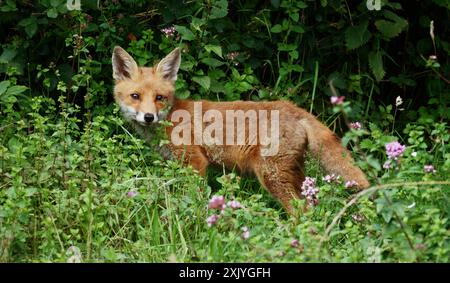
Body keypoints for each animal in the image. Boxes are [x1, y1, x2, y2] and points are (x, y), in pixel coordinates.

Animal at [112, 46, 370, 214]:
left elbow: (194, 199)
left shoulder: (196, 162)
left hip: (272, 176)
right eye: (135, 96)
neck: (172, 119)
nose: (148, 117)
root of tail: (293, 107)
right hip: (294, 174)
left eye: (159, 98)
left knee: (302, 213)